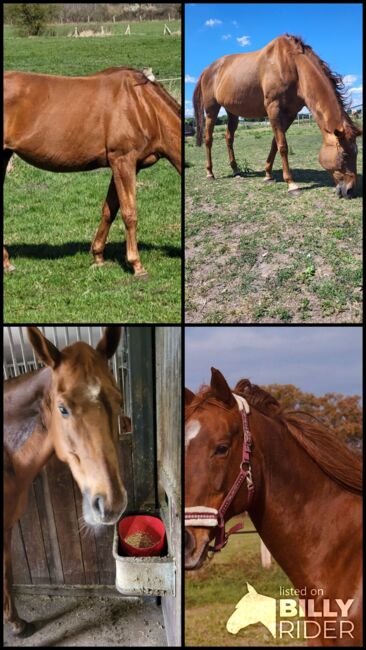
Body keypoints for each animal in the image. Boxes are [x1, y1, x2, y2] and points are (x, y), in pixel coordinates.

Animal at [2, 67, 180, 274]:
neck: (144, 106)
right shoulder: (123, 160)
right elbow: (129, 213)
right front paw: (137, 265)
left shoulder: (126, 166)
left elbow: (109, 210)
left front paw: (98, 257)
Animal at [193, 34, 362, 197]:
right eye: (345, 155)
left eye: (356, 152)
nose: (350, 191)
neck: (292, 65)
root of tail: (207, 70)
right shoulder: (273, 109)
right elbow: (283, 146)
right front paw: (291, 185)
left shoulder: (290, 114)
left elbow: (275, 143)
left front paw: (268, 175)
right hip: (211, 110)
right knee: (208, 139)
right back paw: (210, 173)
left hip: (232, 112)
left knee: (229, 138)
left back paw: (236, 170)